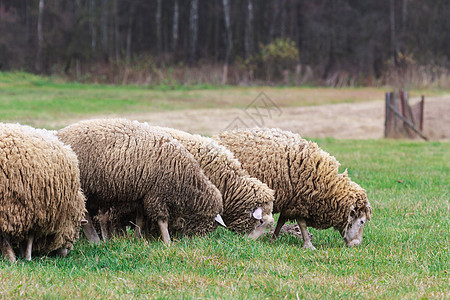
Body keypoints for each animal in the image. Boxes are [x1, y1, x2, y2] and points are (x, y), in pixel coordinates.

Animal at [58, 118, 223, 245]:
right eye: (210, 224)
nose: (200, 241)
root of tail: (59, 135)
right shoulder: (157, 194)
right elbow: (162, 220)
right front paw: (167, 242)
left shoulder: (143, 195)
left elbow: (141, 219)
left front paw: (138, 238)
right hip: (81, 188)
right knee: (85, 216)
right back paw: (95, 241)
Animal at [214, 127, 372, 250]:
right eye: (362, 222)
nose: (357, 245)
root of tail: (218, 136)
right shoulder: (299, 202)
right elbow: (302, 224)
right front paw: (308, 245)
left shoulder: (290, 202)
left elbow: (281, 221)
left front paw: (273, 239)